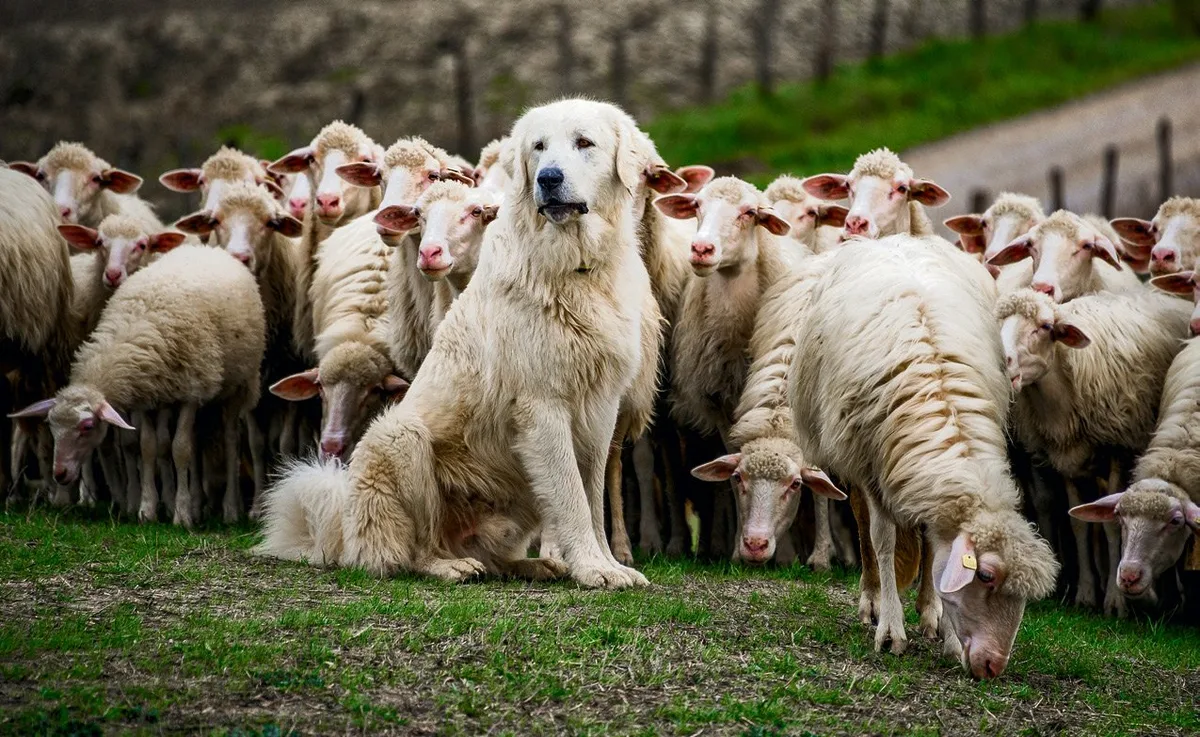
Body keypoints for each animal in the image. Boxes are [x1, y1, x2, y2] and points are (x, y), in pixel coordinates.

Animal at [10, 245, 264, 527]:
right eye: (51, 426)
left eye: (87, 427)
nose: (60, 475)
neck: (134, 330)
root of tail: (205, 247)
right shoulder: (147, 396)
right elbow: (148, 447)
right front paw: (148, 509)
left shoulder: (191, 391)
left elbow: (180, 449)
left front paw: (181, 515)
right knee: (196, 440)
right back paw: (199, 504)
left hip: (238, 384)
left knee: (231, 440)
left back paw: (230, 509)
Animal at [255, 99, 655, 590]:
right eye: (539, 147)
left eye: (584, 142)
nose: (548, 178)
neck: (575, 268)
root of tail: (343, 531)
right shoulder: (543, 406)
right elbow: (572, 498)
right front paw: (593, 569)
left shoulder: (600, 408)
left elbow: (593, 496)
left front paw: (608, 564)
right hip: (401, 436)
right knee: (416, 549)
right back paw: (450, 565)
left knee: (493, 554)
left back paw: (531, 565)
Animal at [790, 235, 1058, 678]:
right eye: (986, 575)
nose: (993, 667)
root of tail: (895, 238)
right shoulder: (871, 463)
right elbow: (881, 539)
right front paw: (890, 630)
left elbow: (936, 551)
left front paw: (944, 633)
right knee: (863, 525)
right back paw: (872, 600)